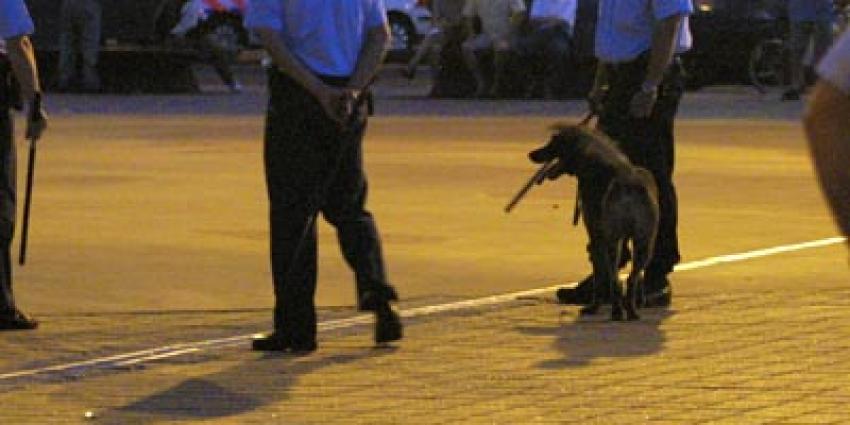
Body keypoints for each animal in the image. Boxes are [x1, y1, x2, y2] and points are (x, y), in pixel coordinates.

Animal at [528, 124, 660, 320]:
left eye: (553, 142)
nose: (531, 154)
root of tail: (629, 184)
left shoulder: (596, 236)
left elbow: (600, 277)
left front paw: (594, 306)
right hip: (644, 243)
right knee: (631, 279)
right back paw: (631, 311)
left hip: (613, 241)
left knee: (614, 279)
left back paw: (616, 311)